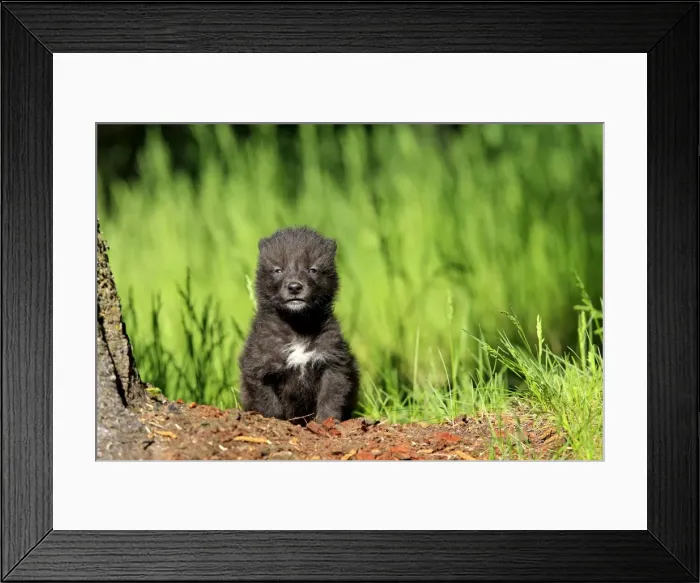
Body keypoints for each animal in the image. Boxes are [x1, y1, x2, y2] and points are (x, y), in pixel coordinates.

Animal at [238, 226, 359, 423]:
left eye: (313, 269)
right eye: (278, 270)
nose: (295, 287)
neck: (298, 325)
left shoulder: (333, 361)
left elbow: (330, 396)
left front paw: (326, 422)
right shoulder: (258, 366)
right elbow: (268, 400)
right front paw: (275, 421)